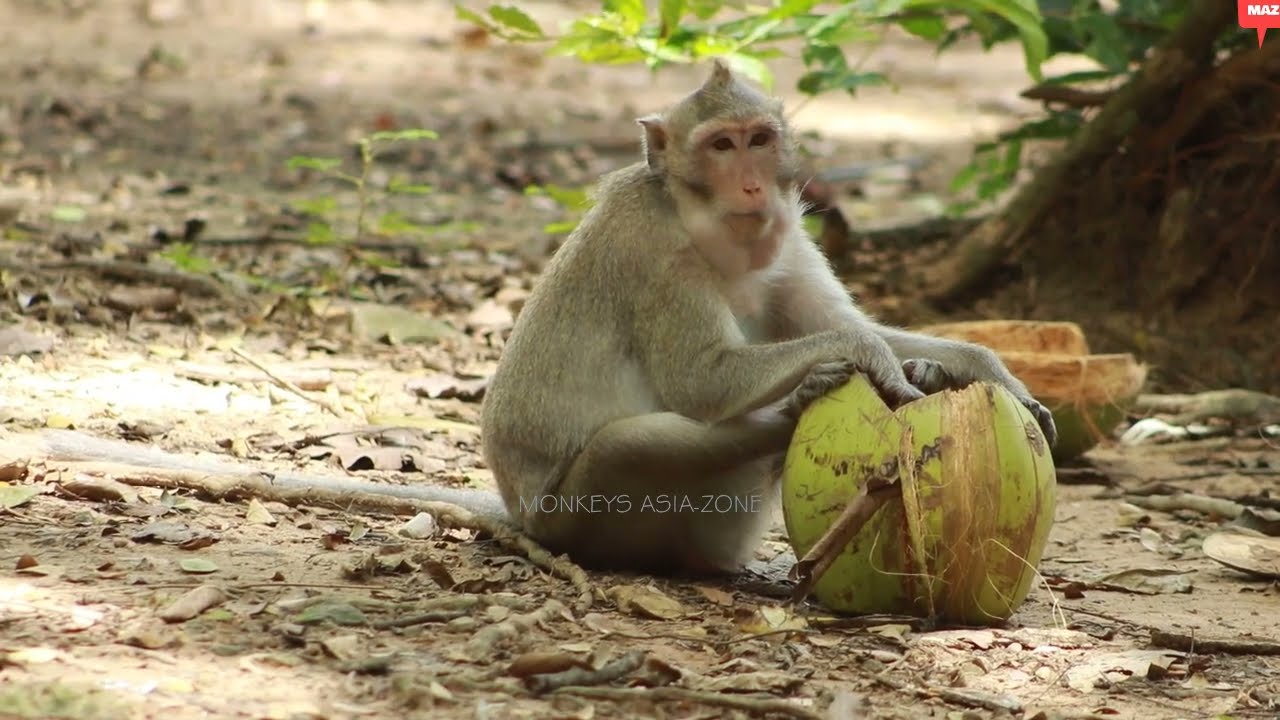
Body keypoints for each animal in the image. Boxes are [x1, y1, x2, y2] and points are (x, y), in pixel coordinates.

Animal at [26, 60, 1055, 578]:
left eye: (761, 139)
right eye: (720, 146)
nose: (755, 187)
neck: (710, 229)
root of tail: (518, 513)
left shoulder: (790, 240)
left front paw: (978, 366)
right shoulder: (656, 257)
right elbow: (701, 381)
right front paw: (860, 354)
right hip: (577, 517)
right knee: (642, 443)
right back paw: (797, 407)